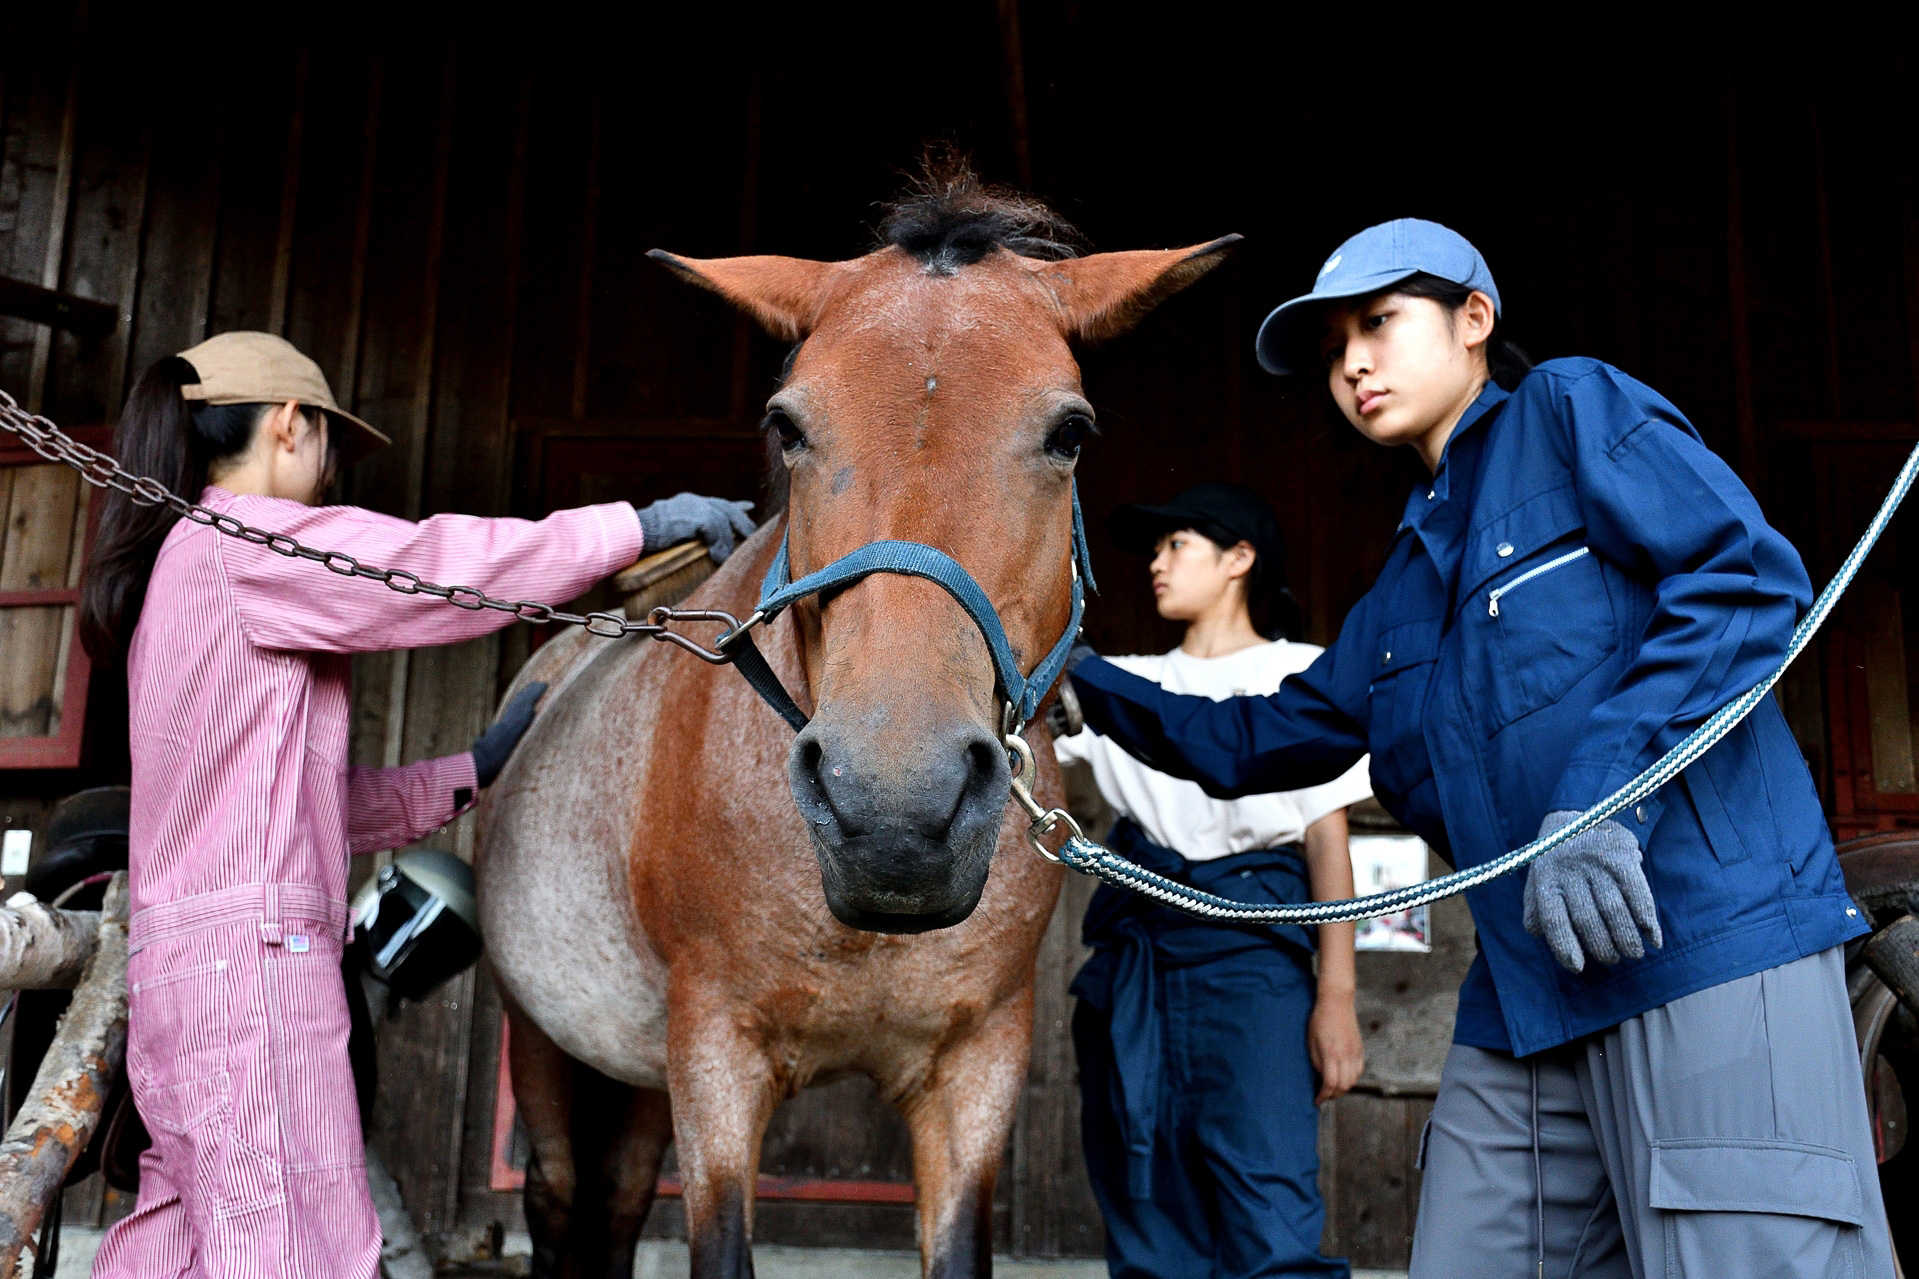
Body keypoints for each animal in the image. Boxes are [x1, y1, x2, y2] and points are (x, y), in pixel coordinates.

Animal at [477, 168, 1235, 1278]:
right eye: (788, 423)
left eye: (1070, 432)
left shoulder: (974, 1067)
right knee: (563, 1190)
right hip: (545, 1036)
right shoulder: (715, 1054)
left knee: (614, 1199)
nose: (893, 811)